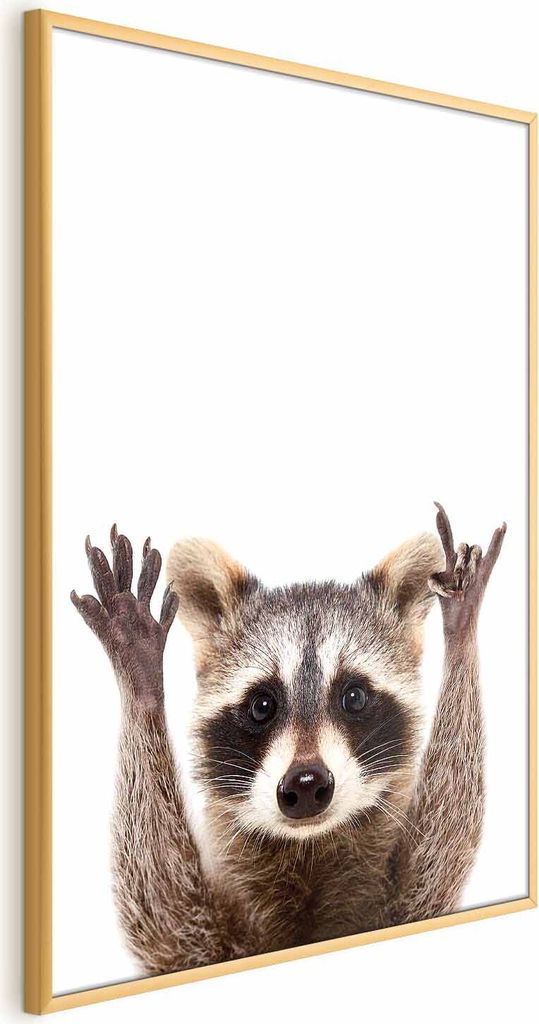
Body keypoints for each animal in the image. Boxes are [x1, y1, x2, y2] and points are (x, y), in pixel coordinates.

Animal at [71, 503, 505, 974]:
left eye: (354, 696)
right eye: (262, 705)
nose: (307, 783)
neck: (309, 850)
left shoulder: (404, 902)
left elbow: (442, 848)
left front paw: (461, 628)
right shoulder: (200, 938)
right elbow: (162, 911)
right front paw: (141, 679)